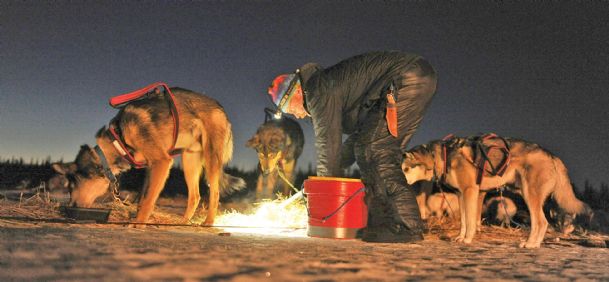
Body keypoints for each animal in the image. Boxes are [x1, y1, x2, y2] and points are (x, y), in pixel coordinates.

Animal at [51, 83, 243, 225]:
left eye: (72, 185)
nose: (70, 207)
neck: (118, 139)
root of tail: (220, 109)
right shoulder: (150, 168)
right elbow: (142, 200)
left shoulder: (162, 162)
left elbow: (149, 201)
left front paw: (138, 224)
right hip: (190, 161)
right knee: (195, 196)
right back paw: (183, 222)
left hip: (211, 159)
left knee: (215, 194)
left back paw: (208, 222)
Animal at [402, 134, 592, 247]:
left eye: (406, 169)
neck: (443, 155)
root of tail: (552, 156)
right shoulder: (461, 195)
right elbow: (464, 221)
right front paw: (460, 237)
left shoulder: (470, 192)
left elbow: (471, 222)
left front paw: (468, 239)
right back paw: (535, 244)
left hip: (530, 196)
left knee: (541, 222)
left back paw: (530, 244)